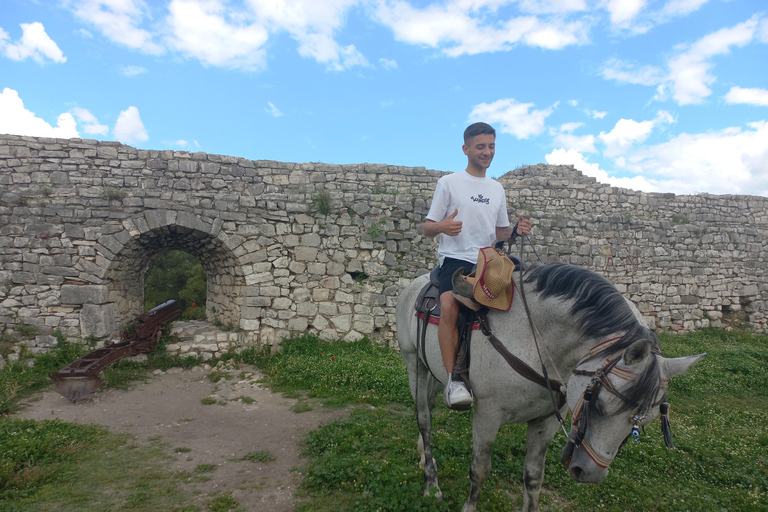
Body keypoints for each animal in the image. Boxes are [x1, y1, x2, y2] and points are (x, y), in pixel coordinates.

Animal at [400, 264, 704, 512]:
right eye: (599, 402)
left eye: (646, 421)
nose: (589, 473)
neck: (531, 339)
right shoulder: (487, 416)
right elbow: (479, 470)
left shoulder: (544, 422)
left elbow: (534, 477)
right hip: (415, 365)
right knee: (424, 420)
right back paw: (431, 484)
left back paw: (423, 457)